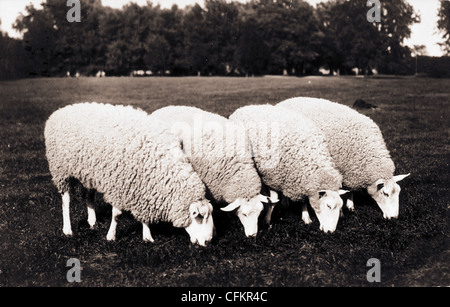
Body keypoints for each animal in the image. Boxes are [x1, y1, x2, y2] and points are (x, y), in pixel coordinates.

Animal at [44, 103, 214, 248]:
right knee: (66, 200)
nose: (209, 241)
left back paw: (92, 221)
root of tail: (60, 111)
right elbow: (116, 214)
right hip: (61, 171)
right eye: (199, 216)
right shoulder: (119, 184)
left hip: (89, 173)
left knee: (89, 196)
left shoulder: (142, 188)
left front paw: (147, 236)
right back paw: (67, 229)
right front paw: (111, 236)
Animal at [229, 104, 348, 232]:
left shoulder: (299, 180)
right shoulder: (272, 178)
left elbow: (303, 200)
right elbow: (273, 200)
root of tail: (246, 107)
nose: (331, 232)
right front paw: (267, 220)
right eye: (329, 206)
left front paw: (306, 217)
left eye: (341, 206)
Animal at [276, 97, 410, 220]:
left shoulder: (351, 169)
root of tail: (287, 100)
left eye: (398, 192)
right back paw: (285, 202)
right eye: (385, 193)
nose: (394, 217)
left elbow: (350, 190)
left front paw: (350, 205)